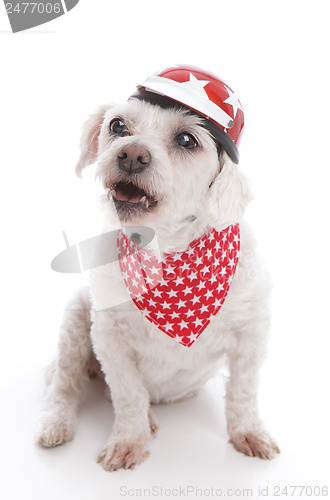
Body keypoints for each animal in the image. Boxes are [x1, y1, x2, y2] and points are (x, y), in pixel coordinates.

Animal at [37, 68, 280, 470]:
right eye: (117, 125)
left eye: (186, 139)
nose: (132, 154)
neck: (165, 249)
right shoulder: (110, 339)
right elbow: (129, 394)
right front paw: (129, 438)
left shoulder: (252, 333)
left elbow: (243, 392)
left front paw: (248, 431)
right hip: (75, 324)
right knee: (64, 385)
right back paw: (57, 422)